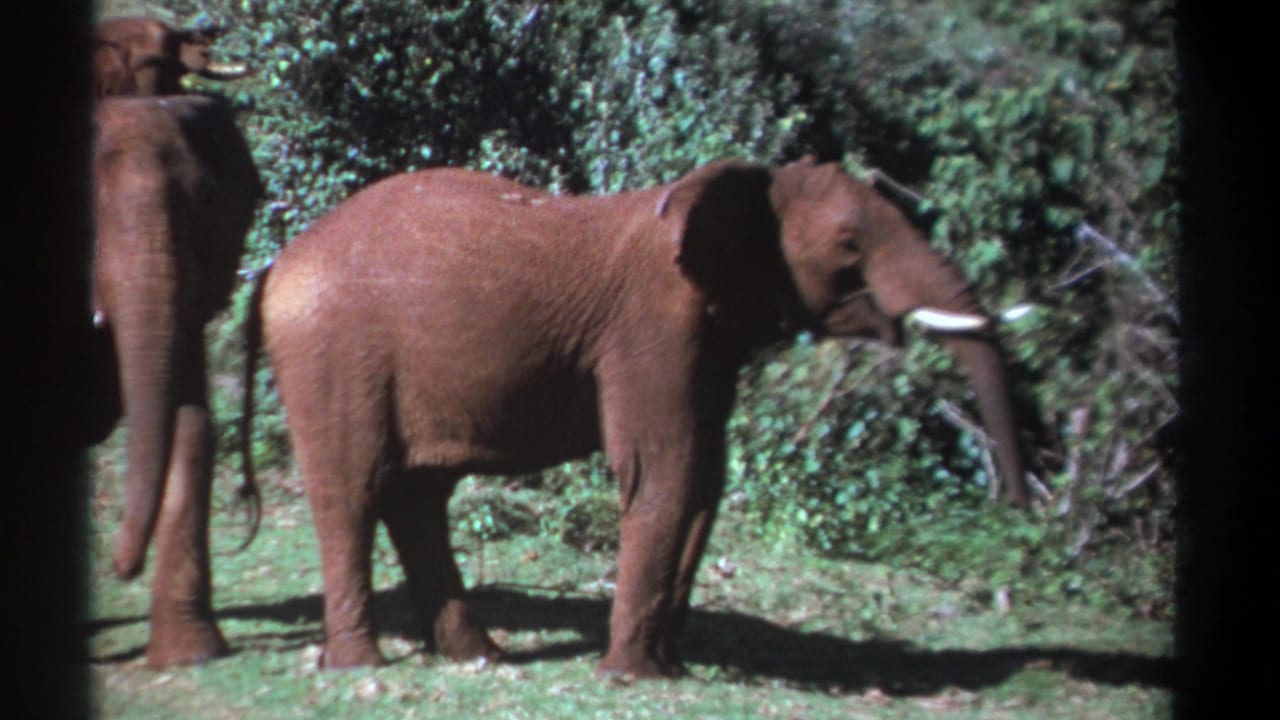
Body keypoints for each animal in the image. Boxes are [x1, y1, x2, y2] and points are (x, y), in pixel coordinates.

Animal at [240, 156, 1028, 678]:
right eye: (848, 246)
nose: (1017, 510)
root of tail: (276, 265)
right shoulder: (653, 326)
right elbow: (662, 469)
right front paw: (630, 677)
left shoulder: (708, 339)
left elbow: (705, 478)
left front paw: (665, 668)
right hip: (332, 351)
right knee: (353, 491)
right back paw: (359, 667)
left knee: (418, 497)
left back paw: (482, 658)